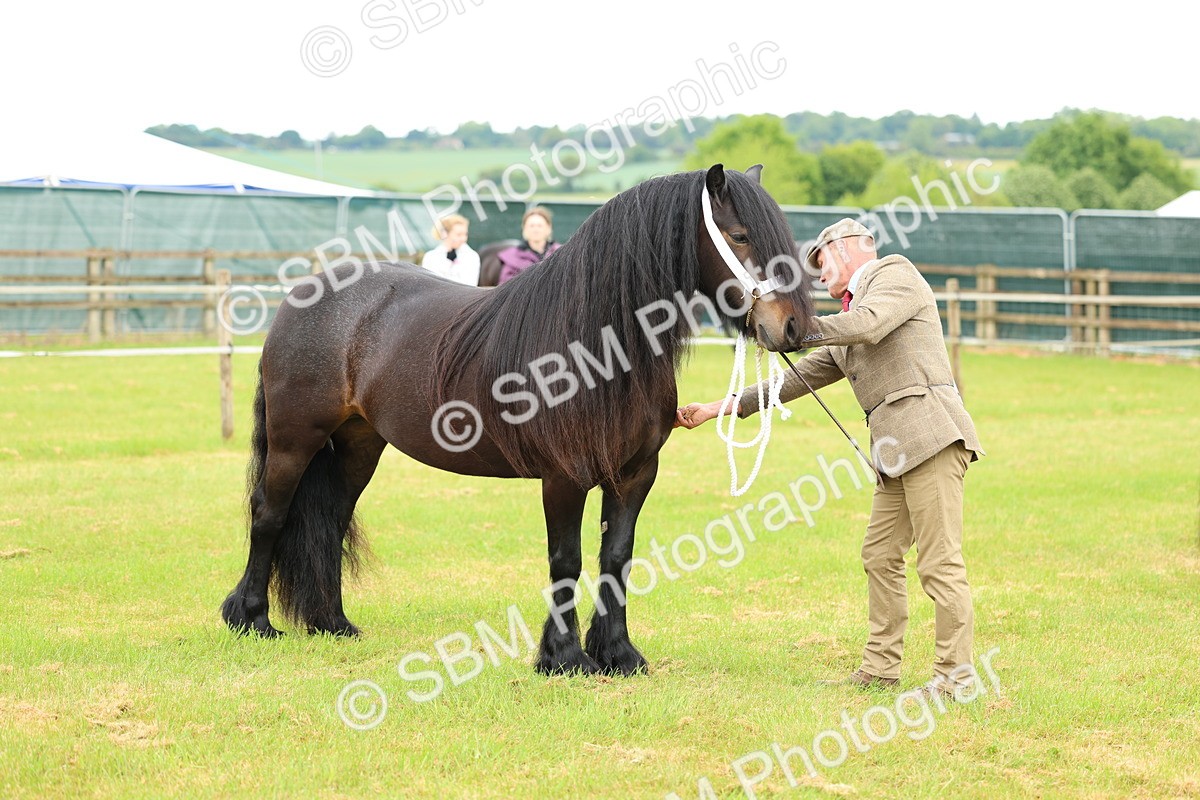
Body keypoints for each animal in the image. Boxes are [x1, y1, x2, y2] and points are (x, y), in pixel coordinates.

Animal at [220, 164, 814, 676]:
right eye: (739, 236)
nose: (793, 329)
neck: (599, 346)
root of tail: (306, 292)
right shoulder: (564, 477)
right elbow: (566, 559)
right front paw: (564, 658)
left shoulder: (635, 475)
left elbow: (616, 557)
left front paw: (618, 655)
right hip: (295, 439)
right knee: (269, 513)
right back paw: (251, 620)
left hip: (359, 445)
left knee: (330, 520)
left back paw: (332, 623)